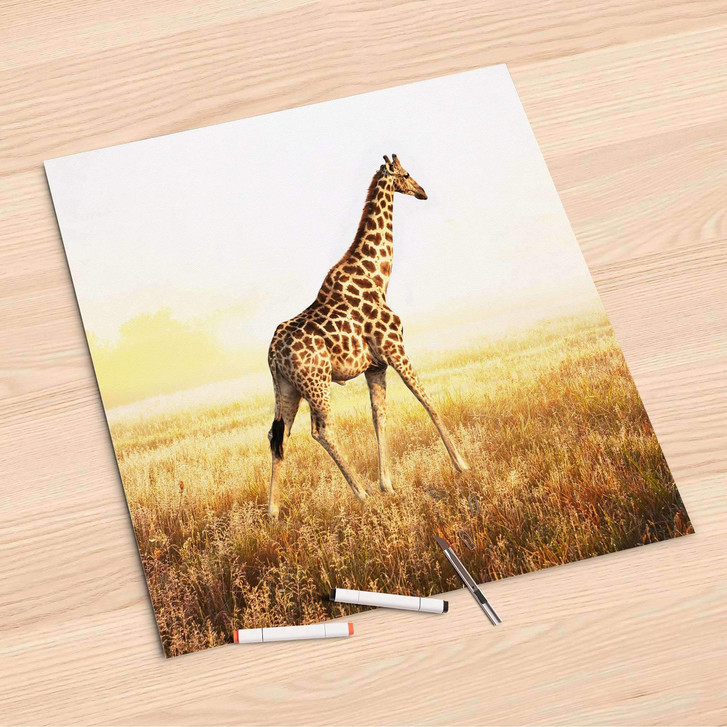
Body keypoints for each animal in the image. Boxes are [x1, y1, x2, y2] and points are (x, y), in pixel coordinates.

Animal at [266, 154, 468, 518]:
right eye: (406, 173)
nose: (423, 192)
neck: (378, 276)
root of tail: (272, 353)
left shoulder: (376, 366)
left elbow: (379, 417)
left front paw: (388, 484)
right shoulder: (395, 348)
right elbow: (427, 400)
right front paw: (462, 464)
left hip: (287, 388)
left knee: (279, 436)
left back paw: (272, 513)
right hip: (315, 382)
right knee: (321, 430)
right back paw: (360, 493)